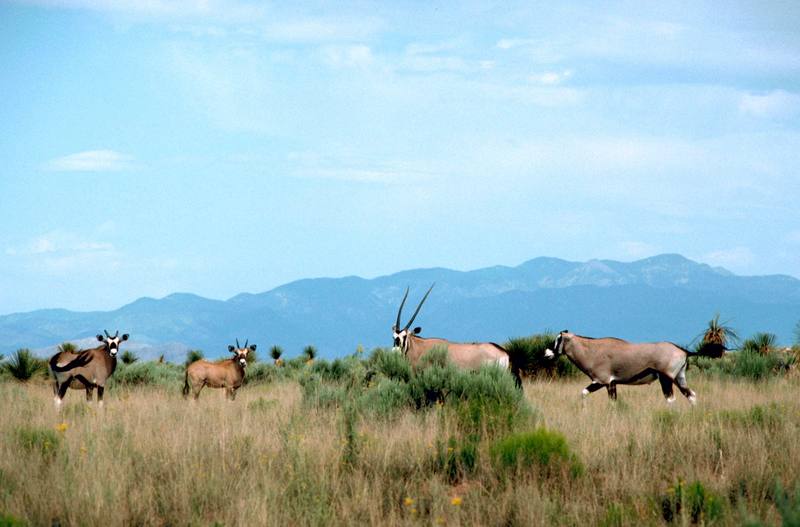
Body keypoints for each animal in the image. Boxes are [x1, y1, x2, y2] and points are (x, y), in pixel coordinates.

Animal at [544, 330, 724, 404]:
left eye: (558, 340)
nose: (547, 354)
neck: (592, 350)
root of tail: (683, 350)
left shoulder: (602, 381)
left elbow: (584, 393)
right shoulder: (612, 384)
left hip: (666, 379)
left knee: (671, 399)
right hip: (679, 378)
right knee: (691, 395)